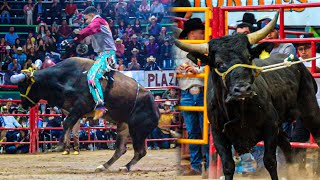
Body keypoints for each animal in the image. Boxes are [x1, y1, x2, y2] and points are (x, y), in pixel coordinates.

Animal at [10, 57, 160, 172]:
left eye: (23, 86)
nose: (23, 105)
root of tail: (156, 110)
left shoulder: (81, 106)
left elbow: (67, 123)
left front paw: (59, 145)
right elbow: (67, 123)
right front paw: (64, 145)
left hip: (137, 130)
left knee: (140, 151)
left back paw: (125, 167)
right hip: (124, 125)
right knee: (120, 149)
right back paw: (103, 166)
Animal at [175, 11, 320, 179]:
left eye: (249, 57)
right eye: (219, 64)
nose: (243, 89)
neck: (238, 108)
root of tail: (297, 63)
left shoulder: (270, 126)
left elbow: (270, 161)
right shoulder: (218, 134)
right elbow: (228, 166)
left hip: (310, 112)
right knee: (289, 150)